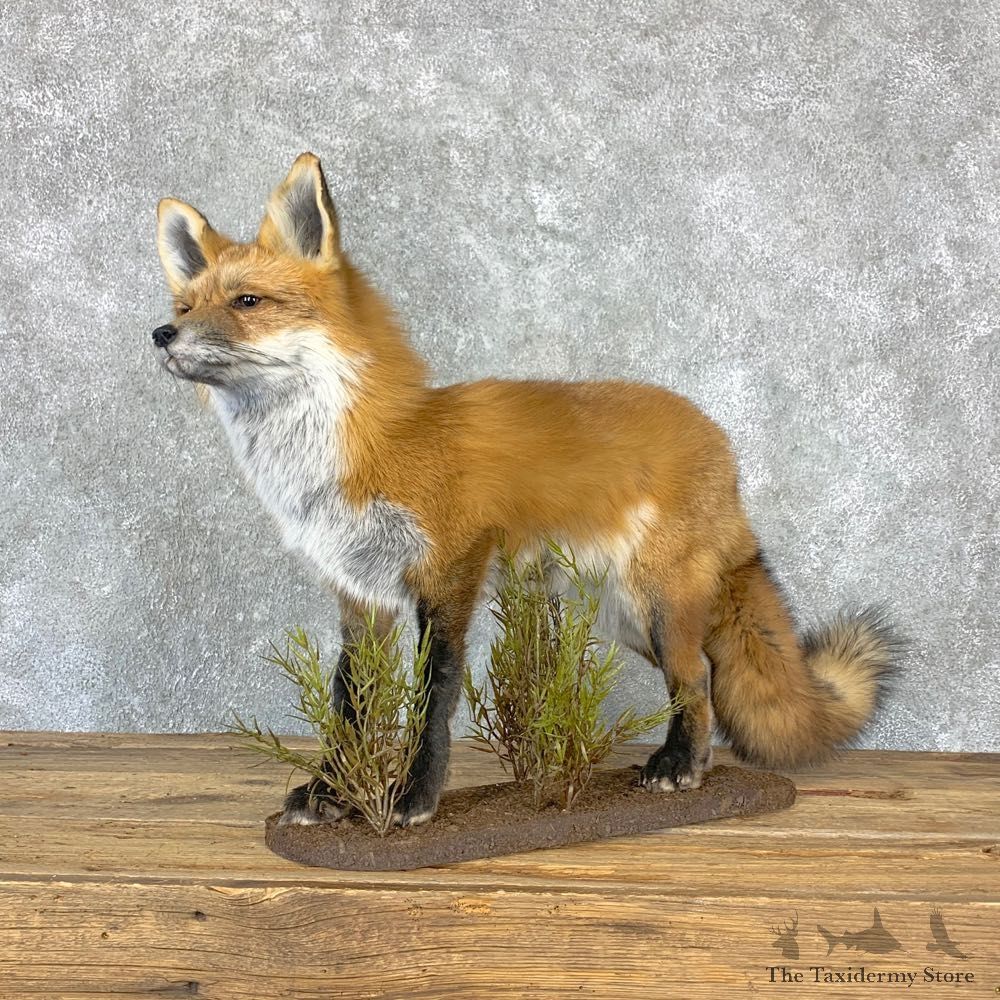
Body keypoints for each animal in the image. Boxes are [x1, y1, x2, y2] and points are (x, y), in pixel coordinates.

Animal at [152, 152, 899, 828]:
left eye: (247, 301)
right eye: (186, 304)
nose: (161, 333)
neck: (372, 446)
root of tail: (718, 439)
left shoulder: (450, 568)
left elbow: (433, 696)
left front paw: (415, 798)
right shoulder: (360, 591)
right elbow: (350, 702)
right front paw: (331, 792)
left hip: (655, 600)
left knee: (698, 678)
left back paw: (679, 766)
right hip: (625, 616)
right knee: (706, 677)